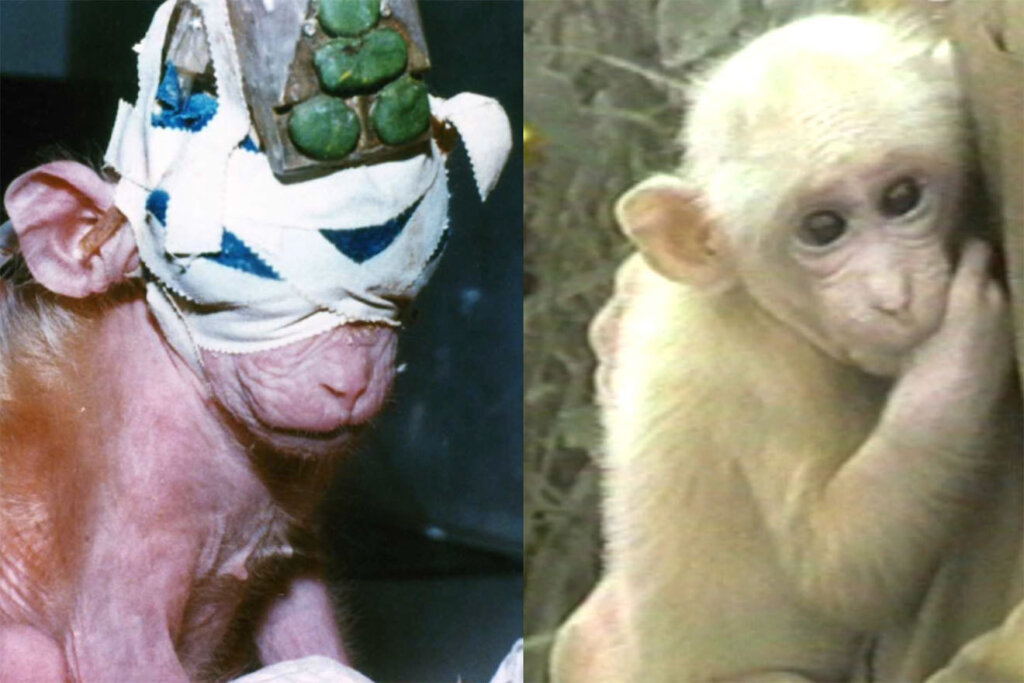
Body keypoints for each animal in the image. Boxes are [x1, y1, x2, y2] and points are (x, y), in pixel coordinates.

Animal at [550, 13, 1018, 683]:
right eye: (823, 228)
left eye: (902, 197)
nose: (892, 295)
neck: (755, 300)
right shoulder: (766, 376)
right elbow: (839, 565)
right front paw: (957, 354)